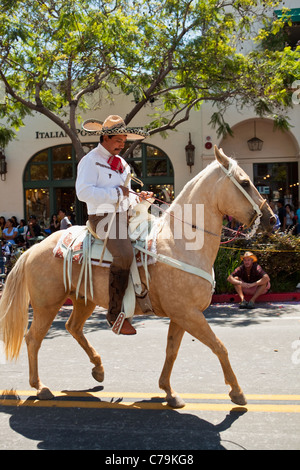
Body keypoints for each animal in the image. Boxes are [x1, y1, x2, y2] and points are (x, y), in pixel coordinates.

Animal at [0, 147, 274, 408]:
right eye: (245, 182)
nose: (271, 219)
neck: (180, 243)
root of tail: (33, 248)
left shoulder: (181, 314)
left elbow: (172, 351)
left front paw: (168, 392)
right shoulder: (189, 313)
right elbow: (220, 347)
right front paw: (237, 392)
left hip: (83, 299)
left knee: (73, 327)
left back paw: (98, 369)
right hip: (47, 304)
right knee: (33, 339)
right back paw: (40, 387)